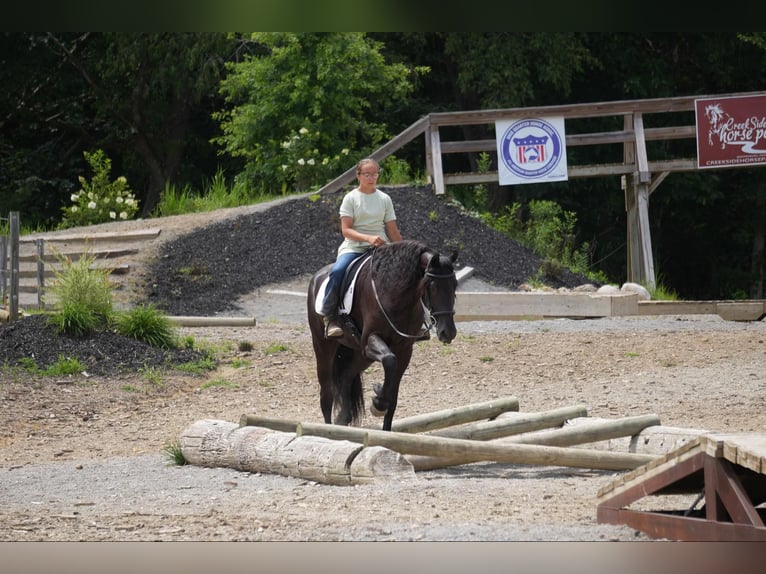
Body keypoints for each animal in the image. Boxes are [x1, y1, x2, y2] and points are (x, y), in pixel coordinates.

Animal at [308, 238, 460, 432]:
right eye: (432, 286)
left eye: (455, 284)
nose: (448, 332)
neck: (395, 294)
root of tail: (316, 277)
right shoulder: (371, 340)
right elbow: (389, 360)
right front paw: (378, 402)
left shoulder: (404, 350)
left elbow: (393, 398)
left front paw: (381, 402)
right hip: (324, 346)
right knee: (326, 394)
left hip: (360, 354)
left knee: (346, 376)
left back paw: (343, 418)